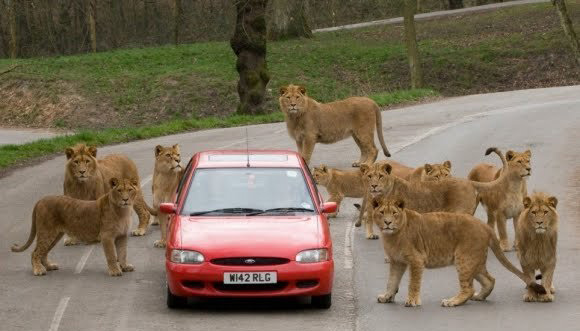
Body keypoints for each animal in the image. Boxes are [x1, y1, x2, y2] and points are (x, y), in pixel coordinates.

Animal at [11, 179, 139, 278]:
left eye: (130, 190)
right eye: (119, 190)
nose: (125, 200)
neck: (123, 211)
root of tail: (40, 200)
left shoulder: (122, 235)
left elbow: (123, 253)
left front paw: (125, 267)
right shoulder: (107, 236)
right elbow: (111, 255)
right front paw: (115, 271)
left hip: (55, 235)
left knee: (43, 252)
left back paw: (49, 266)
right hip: (46, 232)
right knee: (35, 252)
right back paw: (38, 270)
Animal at [372, 197, 544, 308]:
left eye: (394, 213)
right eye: (382, 212)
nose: (387, 222)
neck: (391, 236)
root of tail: (484, 226)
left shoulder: (416, 260)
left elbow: (413, 283)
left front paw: (412, 301)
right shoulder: (397, 261)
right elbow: (392, 281)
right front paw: (387, 296)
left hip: (464, 259)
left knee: (468, 288)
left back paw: (452, 301)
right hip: (474, 261)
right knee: (490, 280)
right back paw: (479, 297)